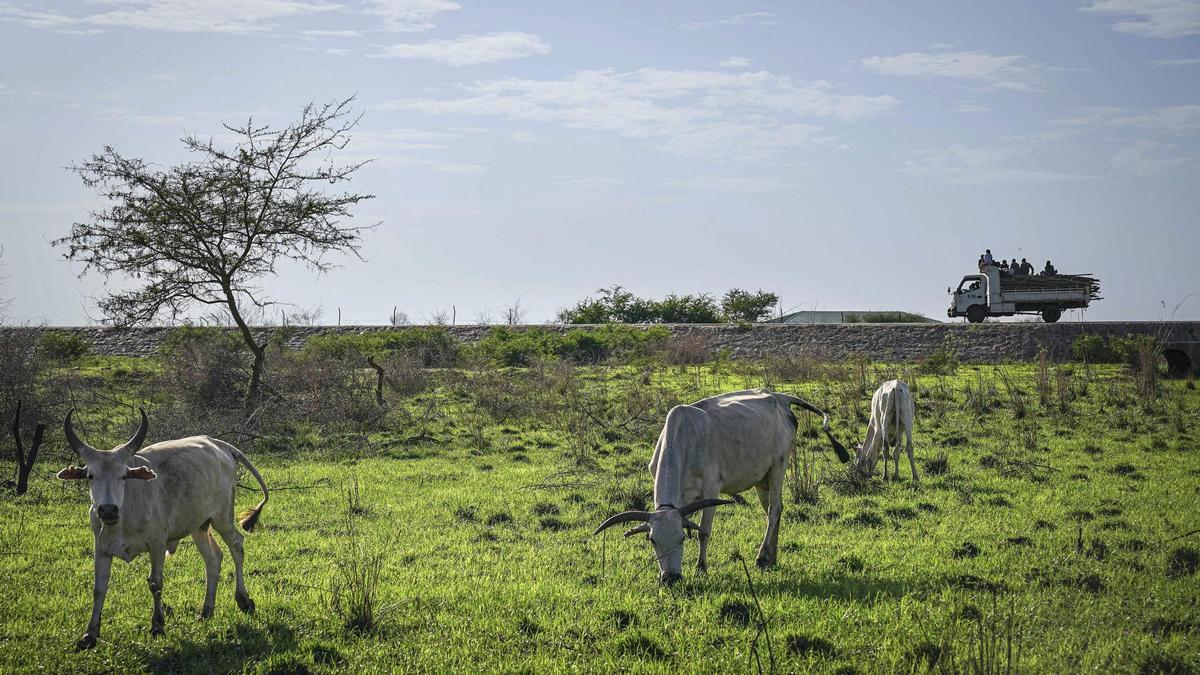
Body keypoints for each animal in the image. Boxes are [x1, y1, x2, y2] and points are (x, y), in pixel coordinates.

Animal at [56, 408, 270, 648]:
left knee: (236, 546)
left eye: (124, 475)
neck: (125, 513)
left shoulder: (157, 544)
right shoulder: (101, 549)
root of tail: (218, 444)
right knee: (213, 558)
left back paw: (244, 600)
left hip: (222, 518)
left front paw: (158, 625)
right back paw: (206, 611)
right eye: (90, 475)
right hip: (199, 525)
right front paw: (90, 634)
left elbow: (155, 583)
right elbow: (99, 588)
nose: (108, 510)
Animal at [590, 386, 844, 581]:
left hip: (778, 466)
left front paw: (701, 567)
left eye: (681, 539)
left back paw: (762, 557)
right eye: (652, 540)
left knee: (774, 511)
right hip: (762, 479)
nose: (671, 579)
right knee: (775, 509)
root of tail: (780, 398)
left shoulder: (711, 489)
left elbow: (704, 531)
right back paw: (772, 557)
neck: (682, 439)